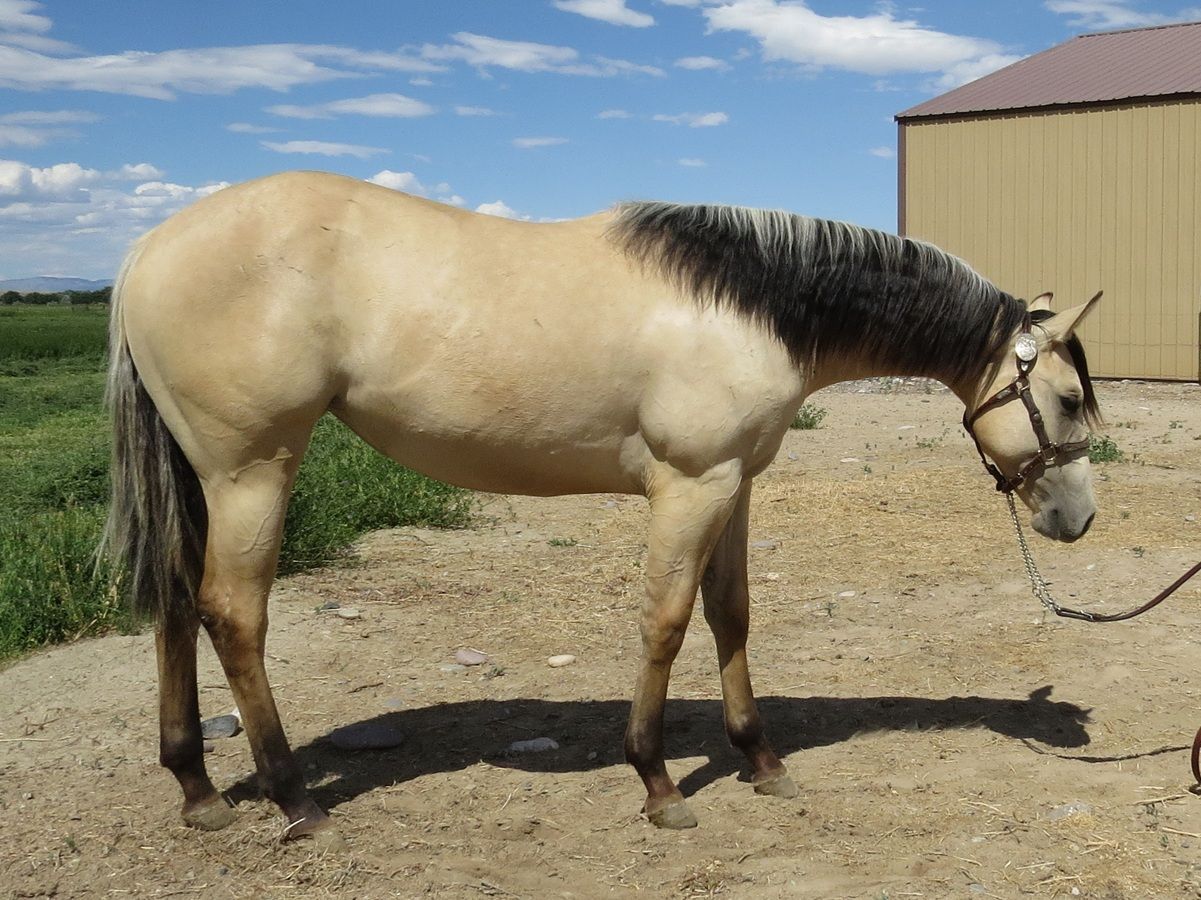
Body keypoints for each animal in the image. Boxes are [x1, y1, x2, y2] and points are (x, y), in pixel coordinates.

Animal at [103, 171, 1103, 848]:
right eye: (1062, 399)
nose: (1078, 519)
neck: (748, 303)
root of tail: (148, 245)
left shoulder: (736, 482)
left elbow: (731, 616)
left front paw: (760, 760)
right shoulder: (689, 487)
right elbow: (665, 622)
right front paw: (658, 782)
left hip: (203, 478)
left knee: (176, 606)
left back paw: (197, 789)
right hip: (252, 471)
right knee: (233, 614)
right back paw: (294, 798)